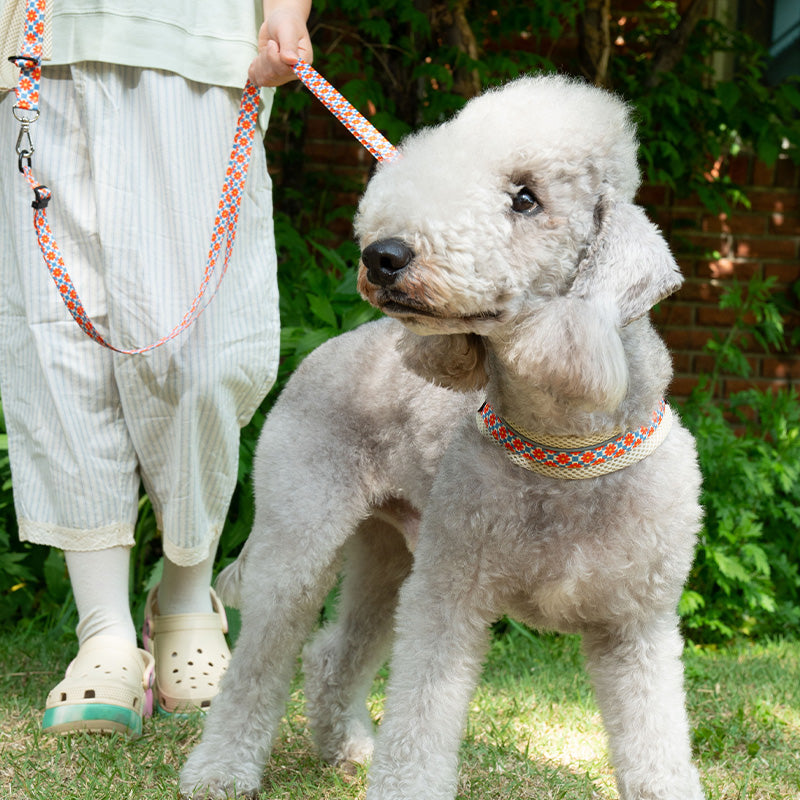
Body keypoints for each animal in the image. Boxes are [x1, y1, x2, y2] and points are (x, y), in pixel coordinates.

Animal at [181, 75, 708, 800]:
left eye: (526, 198)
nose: (383, 256)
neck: (563, 450)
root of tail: (331, 345)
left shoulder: (637, 626)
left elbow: (657, 746)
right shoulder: (448, 598)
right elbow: (419, 726)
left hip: (387, 555)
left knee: (333, 653)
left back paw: (348, 747)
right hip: (302, 534)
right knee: (260, 660)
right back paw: (221, 771)